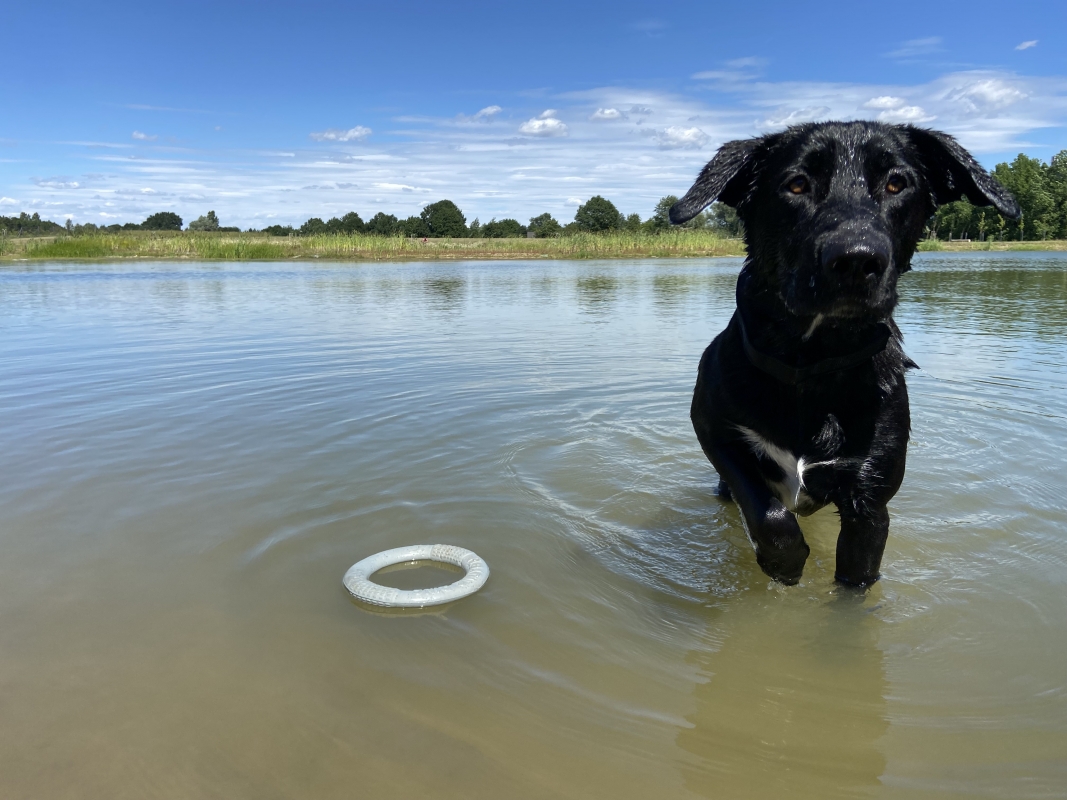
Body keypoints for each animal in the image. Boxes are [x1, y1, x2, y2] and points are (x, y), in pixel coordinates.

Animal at [670, 125, 1020, 588]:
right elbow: (765, 510)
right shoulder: (714, 430)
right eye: (796, 184)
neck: (810, 364)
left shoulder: (870, 502)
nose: (856, 260)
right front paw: (783, 562)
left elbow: (855, 584)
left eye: (897, 183)